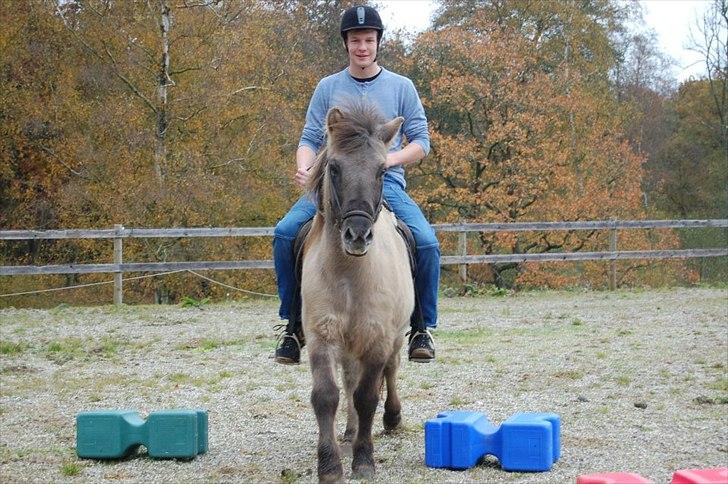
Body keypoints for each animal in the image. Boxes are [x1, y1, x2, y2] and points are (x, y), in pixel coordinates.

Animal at [302, 100, 416, 482]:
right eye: (334, 167)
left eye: (382, 171)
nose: (357, 234)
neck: (350, 275)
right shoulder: (322, 336)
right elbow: (327, 395)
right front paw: (330, 465)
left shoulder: (377, 337)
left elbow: (368, 396)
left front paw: (364, 460)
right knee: (349, 380)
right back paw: (350, 431)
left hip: (394, 336)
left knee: (391, 370)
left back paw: (391, 418)